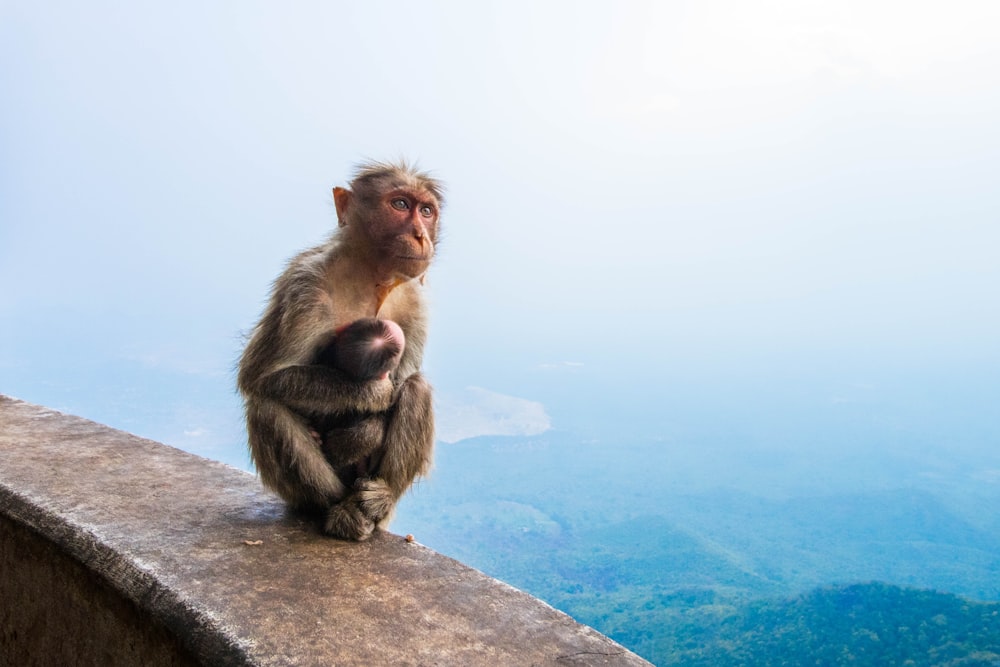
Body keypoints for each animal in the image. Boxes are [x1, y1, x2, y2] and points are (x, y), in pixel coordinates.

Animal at [238, 162, 442, 544]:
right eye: (401, 204)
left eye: (426, 211)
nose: (421, 235)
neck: (370, 276)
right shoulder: (305, 287)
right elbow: (264, 376)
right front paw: (372, 393)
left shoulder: (415, 301)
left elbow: (401, 386)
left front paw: (362, 432)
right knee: (265, 405)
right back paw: (337, 509)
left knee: (416, 387)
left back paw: (379, 498)